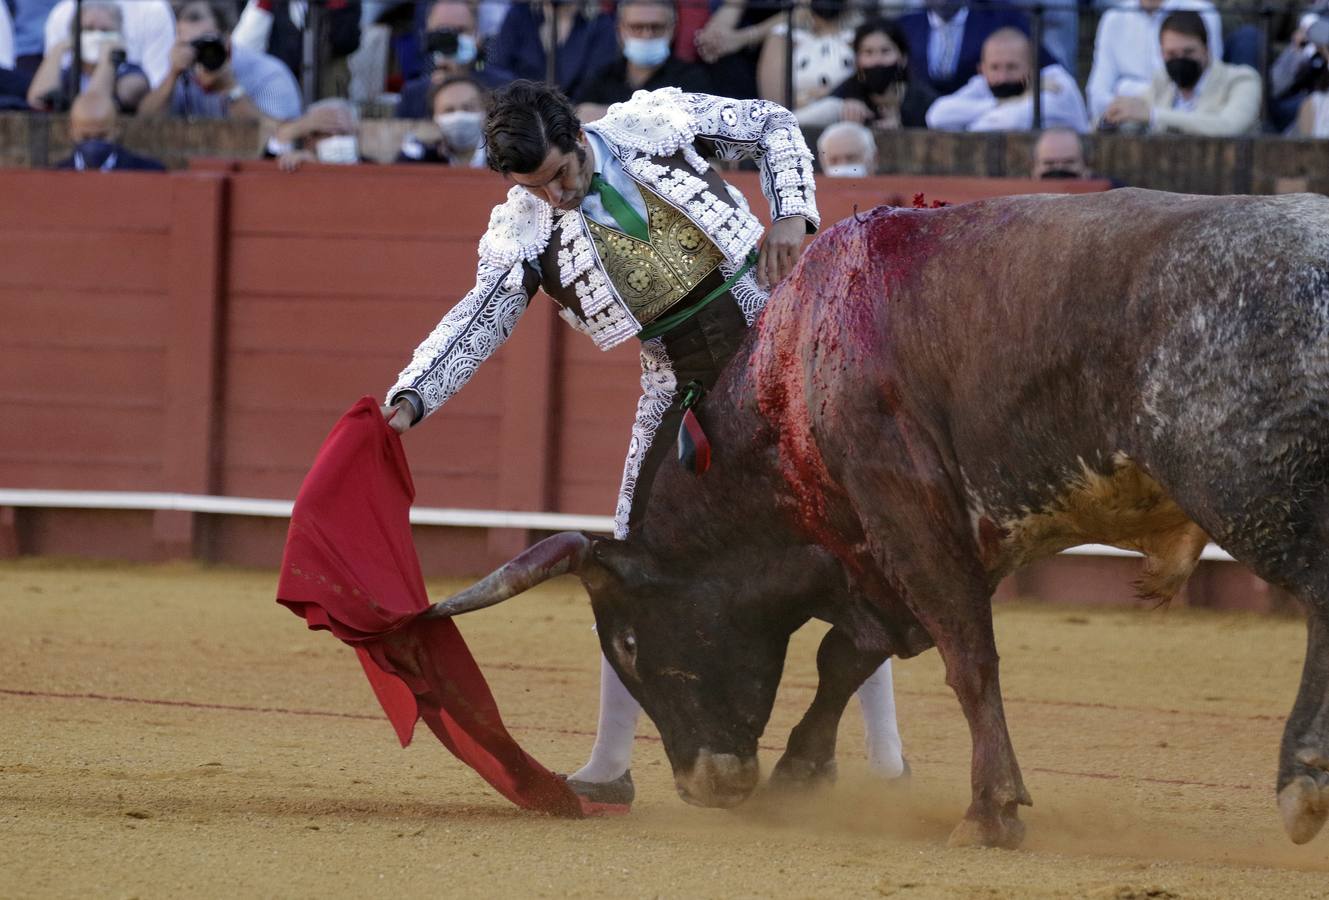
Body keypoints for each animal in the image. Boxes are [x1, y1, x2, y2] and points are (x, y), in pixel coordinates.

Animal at [422, 186, 1329, 845]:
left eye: (631, 645)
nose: (704, 785)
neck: (790, 378)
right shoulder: (888, 549)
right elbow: (850, 653)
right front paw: (800, 773)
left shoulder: (908, 516)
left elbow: (964, 655)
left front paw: (988, 813)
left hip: (1244, 487)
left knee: (1317, 596)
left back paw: (1301, 782)